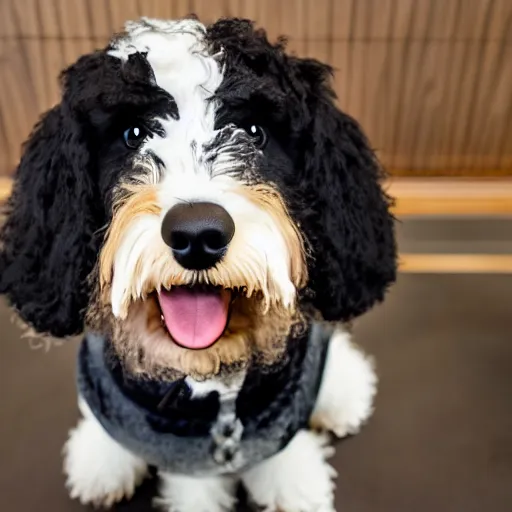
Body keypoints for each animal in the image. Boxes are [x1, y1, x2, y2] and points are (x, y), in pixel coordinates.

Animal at [0, 16, 396, 512]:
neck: (206, 373)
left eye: (254, 131)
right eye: (133, 134)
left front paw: (295, 485)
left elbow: (279, 451)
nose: (197, 235)